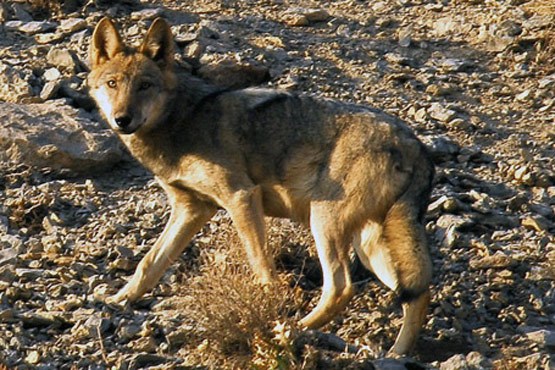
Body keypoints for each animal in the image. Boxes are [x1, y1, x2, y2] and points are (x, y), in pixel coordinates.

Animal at [88, 16, 434, 356]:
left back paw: (295, 329)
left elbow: (261, 266)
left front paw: (271, 305)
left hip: (324, 223)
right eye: (113, 84)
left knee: (341, 288)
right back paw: (397, 353)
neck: (182, 121)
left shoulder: (241, 197)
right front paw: (119, 299)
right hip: (370, 246)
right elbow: (149, 263)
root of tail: (416, 145)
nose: (122, 119)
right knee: (417, 293)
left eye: (144, 86)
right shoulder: (191, 209)